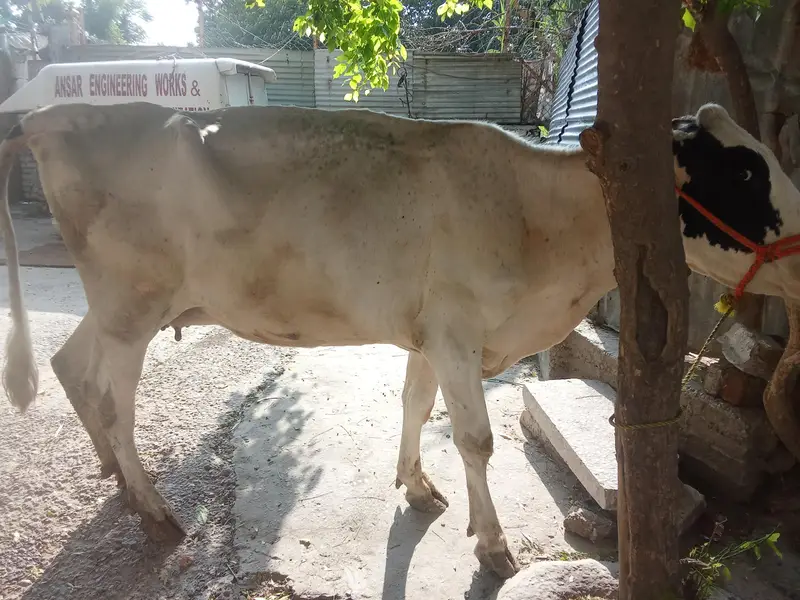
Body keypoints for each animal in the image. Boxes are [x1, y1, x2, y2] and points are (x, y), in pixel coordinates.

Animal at [1, 101, 798, 579]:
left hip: (117, 306)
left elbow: (416, 407)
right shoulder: (456, 331)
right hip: (131, 307)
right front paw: (494, 545)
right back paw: (155, 511)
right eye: (745, 170)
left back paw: (116, 478)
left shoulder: (428, 334)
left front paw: (417, 486)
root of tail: (55, 114)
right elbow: (475, 439)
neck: (543, 221)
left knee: (71, 366)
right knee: (114, 401)